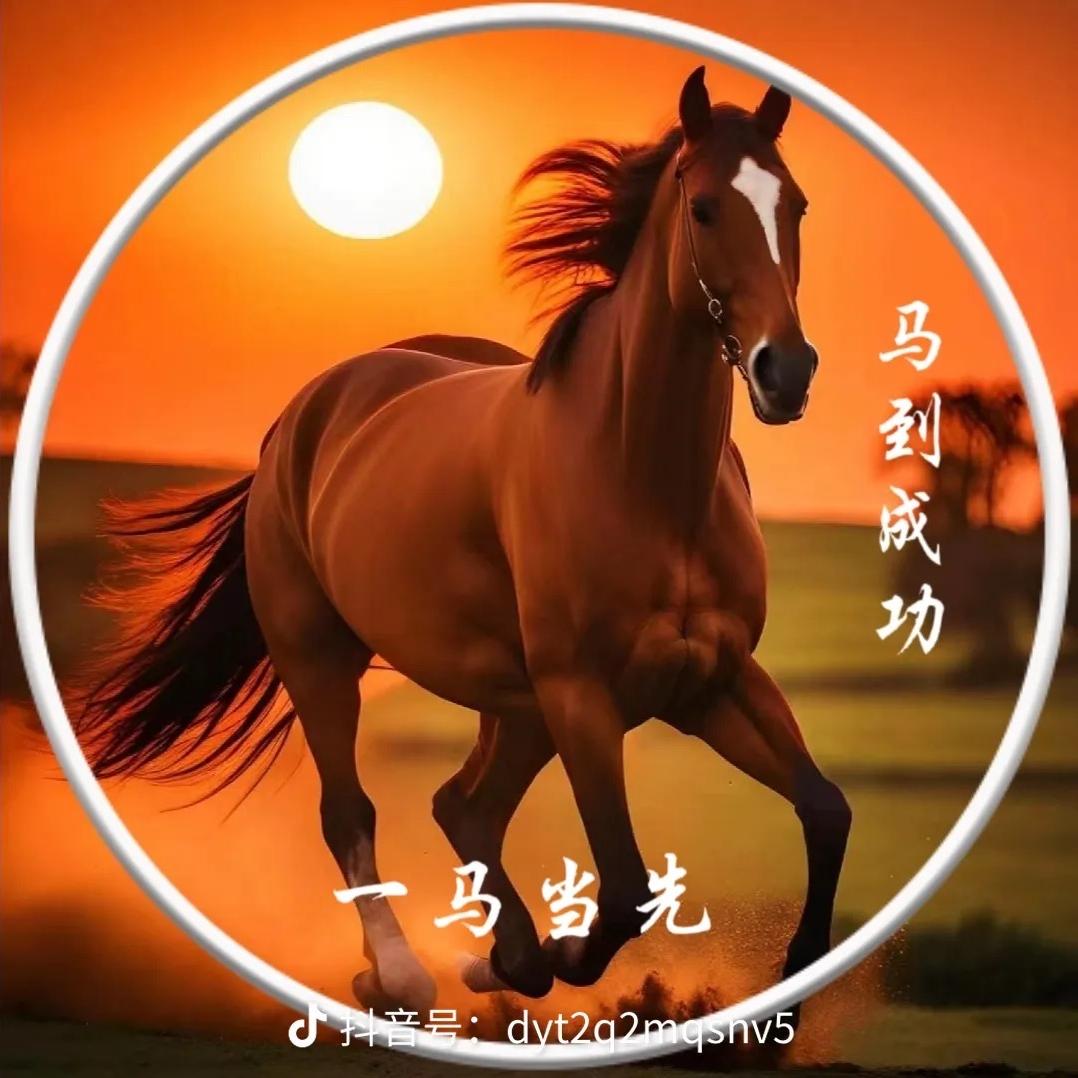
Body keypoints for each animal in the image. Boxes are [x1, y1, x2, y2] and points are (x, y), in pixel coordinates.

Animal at [76, 68, 850, 1025]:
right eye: (704, 207)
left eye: (797, 206)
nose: (788, 371)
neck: (642, 476)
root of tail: (306, 411)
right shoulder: (583, 693)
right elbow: (626, 886)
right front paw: (557, 951)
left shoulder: (715, 679)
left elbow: (825, 809)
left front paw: (794, 978)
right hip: (325, 660)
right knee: (354, 813)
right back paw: (405, 975)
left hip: (514, 703)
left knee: (463, 806)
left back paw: (496, 960)